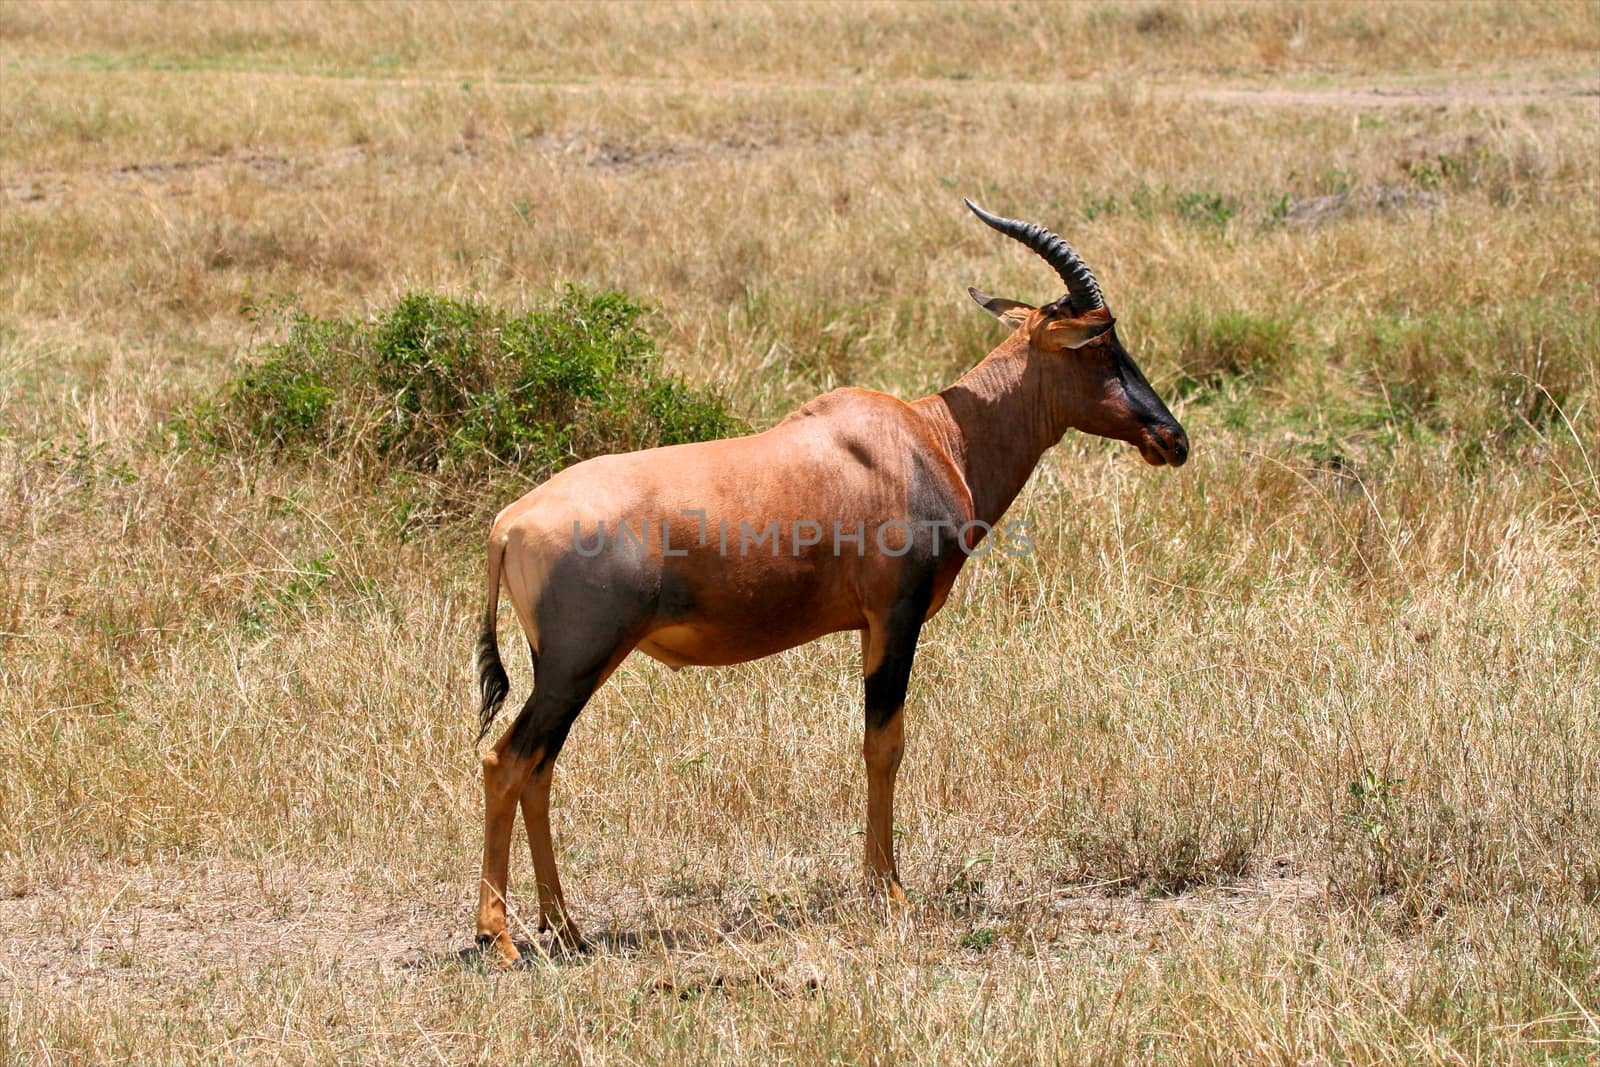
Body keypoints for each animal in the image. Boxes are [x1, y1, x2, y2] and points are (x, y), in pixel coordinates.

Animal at [467, 198, 1184, 959]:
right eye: (1100, 345)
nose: (1174, 439)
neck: (928, 436)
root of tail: (509, 522)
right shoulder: (896, 617)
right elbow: (885, 743)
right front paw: (890, 892)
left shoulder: (870, 625)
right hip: (577, 662)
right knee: (507, 762)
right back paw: (500, 936)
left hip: (575, 666)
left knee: (538, 768)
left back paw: (565, 927)